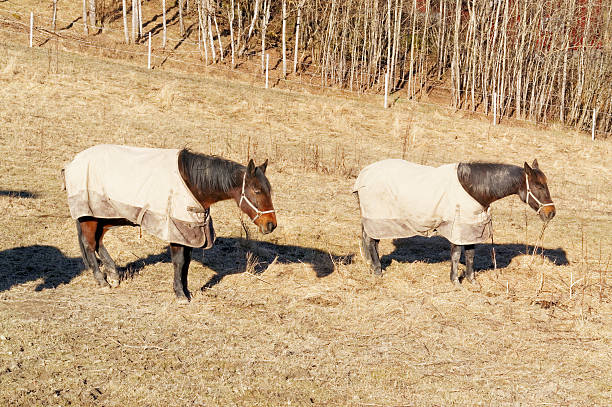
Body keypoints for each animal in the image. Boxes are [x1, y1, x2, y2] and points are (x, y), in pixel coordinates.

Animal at [63, 147, 276, 302]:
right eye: (256, 190)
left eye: (269, 190)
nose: (271, 225)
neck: (192, 184)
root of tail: (73, 163)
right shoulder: (176, 231)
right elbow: (179, 262)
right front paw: (181, 294)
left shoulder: (191, 232)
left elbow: (186, 263)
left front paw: (186, 290)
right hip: (90, 217)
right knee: (90, 245)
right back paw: (102, 281)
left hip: (104, 217)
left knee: (98, 243)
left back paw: (114, 275)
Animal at [356, 161, 556, 286]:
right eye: (538, 186)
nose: (551, 213)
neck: (473, 188)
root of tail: (363, 175)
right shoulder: (457, 228)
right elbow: (456, 254)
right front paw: (455, 281)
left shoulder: (471, 227)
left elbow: (470, 255)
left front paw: (471, 280)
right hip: (378, 218)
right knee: (372, 242)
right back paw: (377, 270)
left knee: (368, 240)